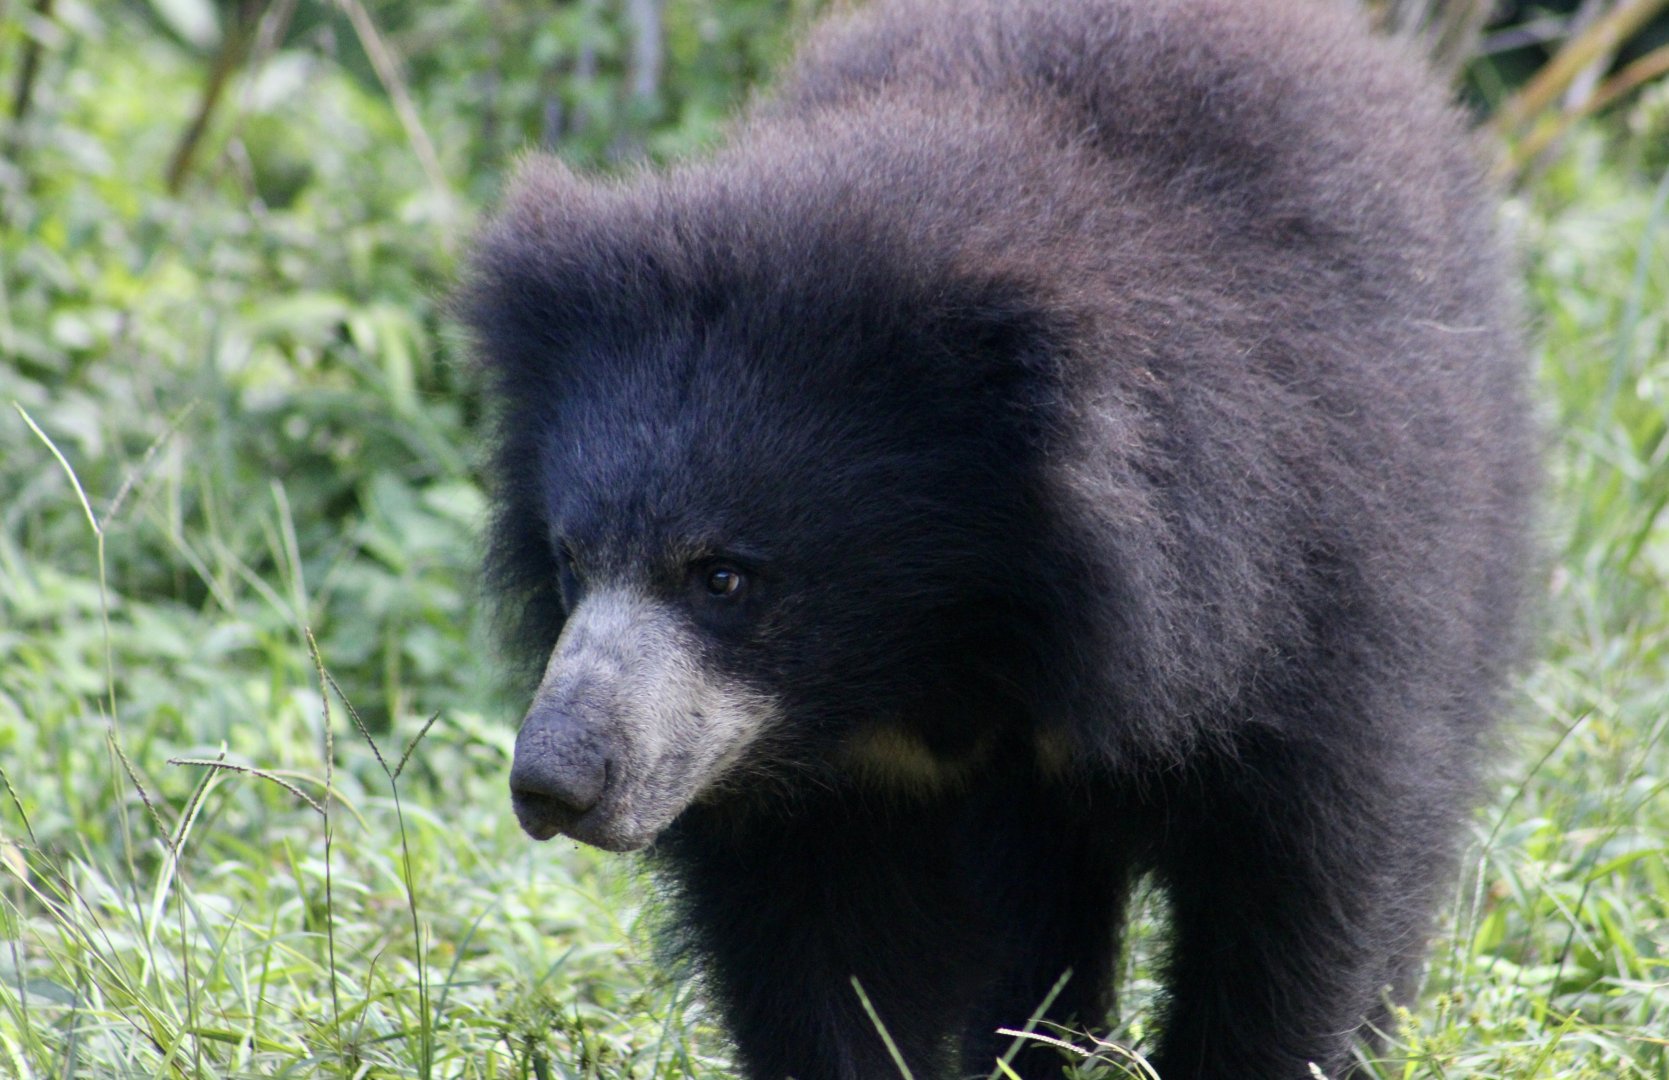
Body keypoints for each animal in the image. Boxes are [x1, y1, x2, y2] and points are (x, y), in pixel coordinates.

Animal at [458, 0, 1538, 1077]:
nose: (554, 783)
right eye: (570, 558)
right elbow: (817, 946)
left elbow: (1294, 887)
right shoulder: (799, 774)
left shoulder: (1304, 592)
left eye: (723, 577)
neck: (943, 648)